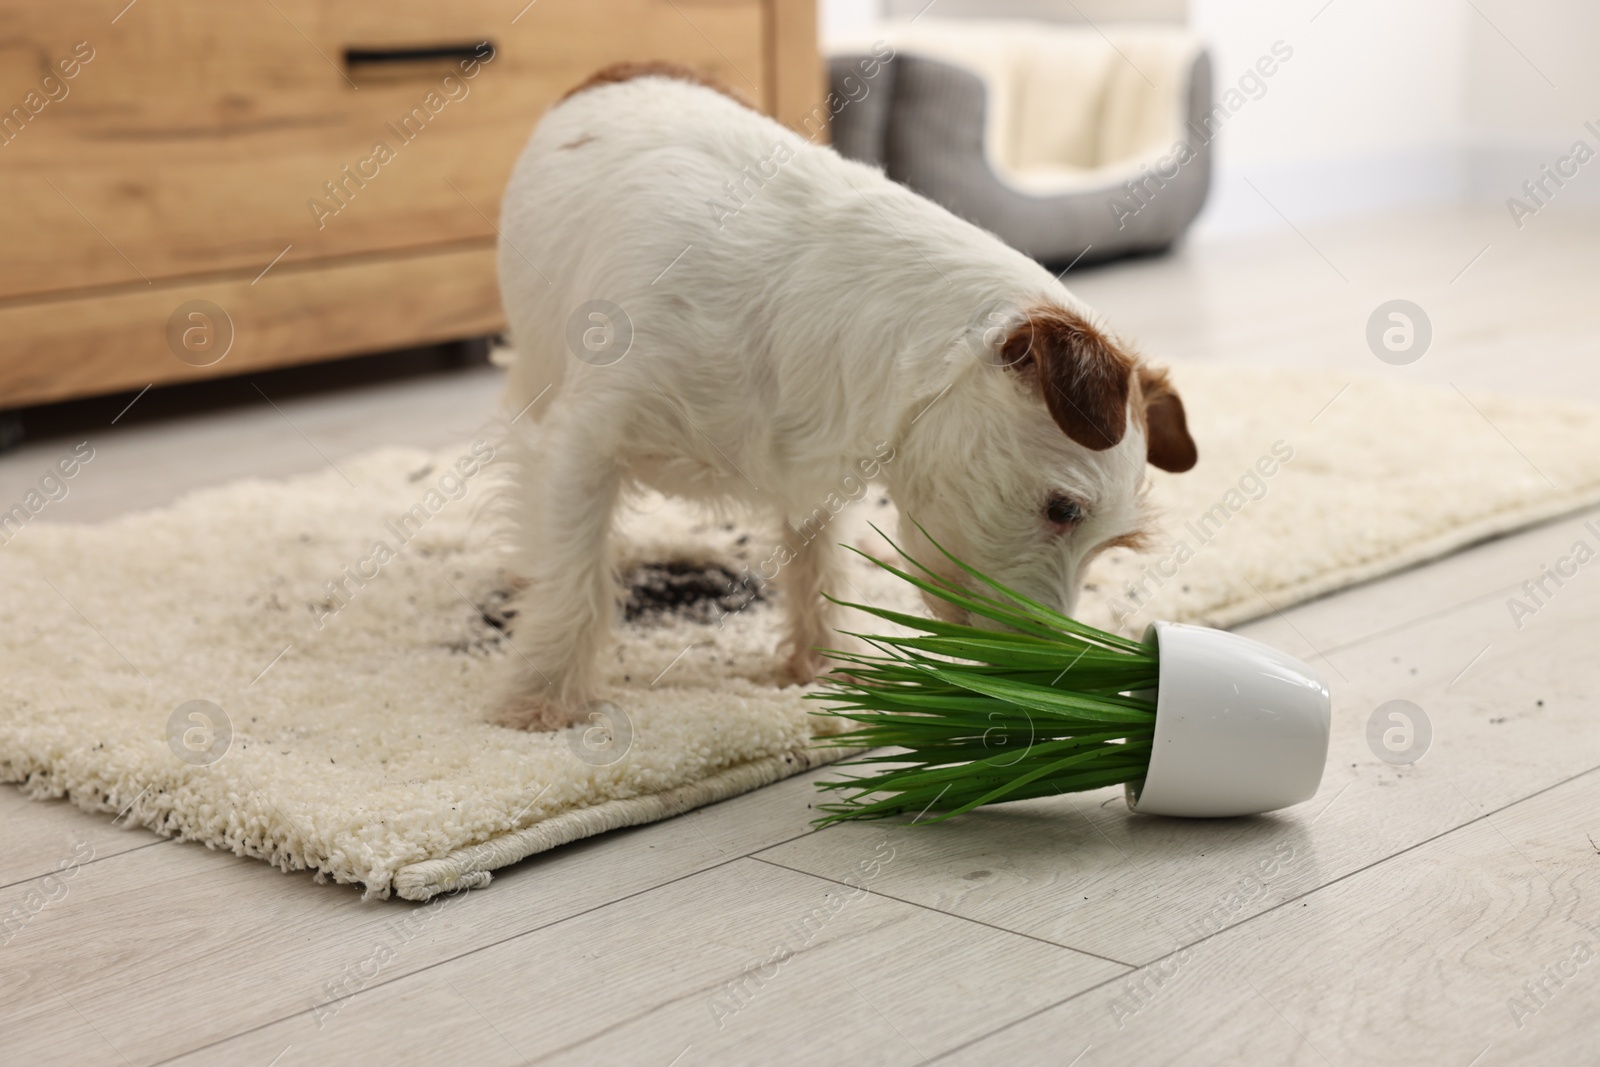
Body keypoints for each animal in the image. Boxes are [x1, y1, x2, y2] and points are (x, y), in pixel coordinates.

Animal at [492, 62, 1196, 729]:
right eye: (1063, 509)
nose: (1047, 670)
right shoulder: (584, 447)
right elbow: (575, 577)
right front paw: (544, 699)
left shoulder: (818, 474)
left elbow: (820, 567)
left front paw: (824, 665)